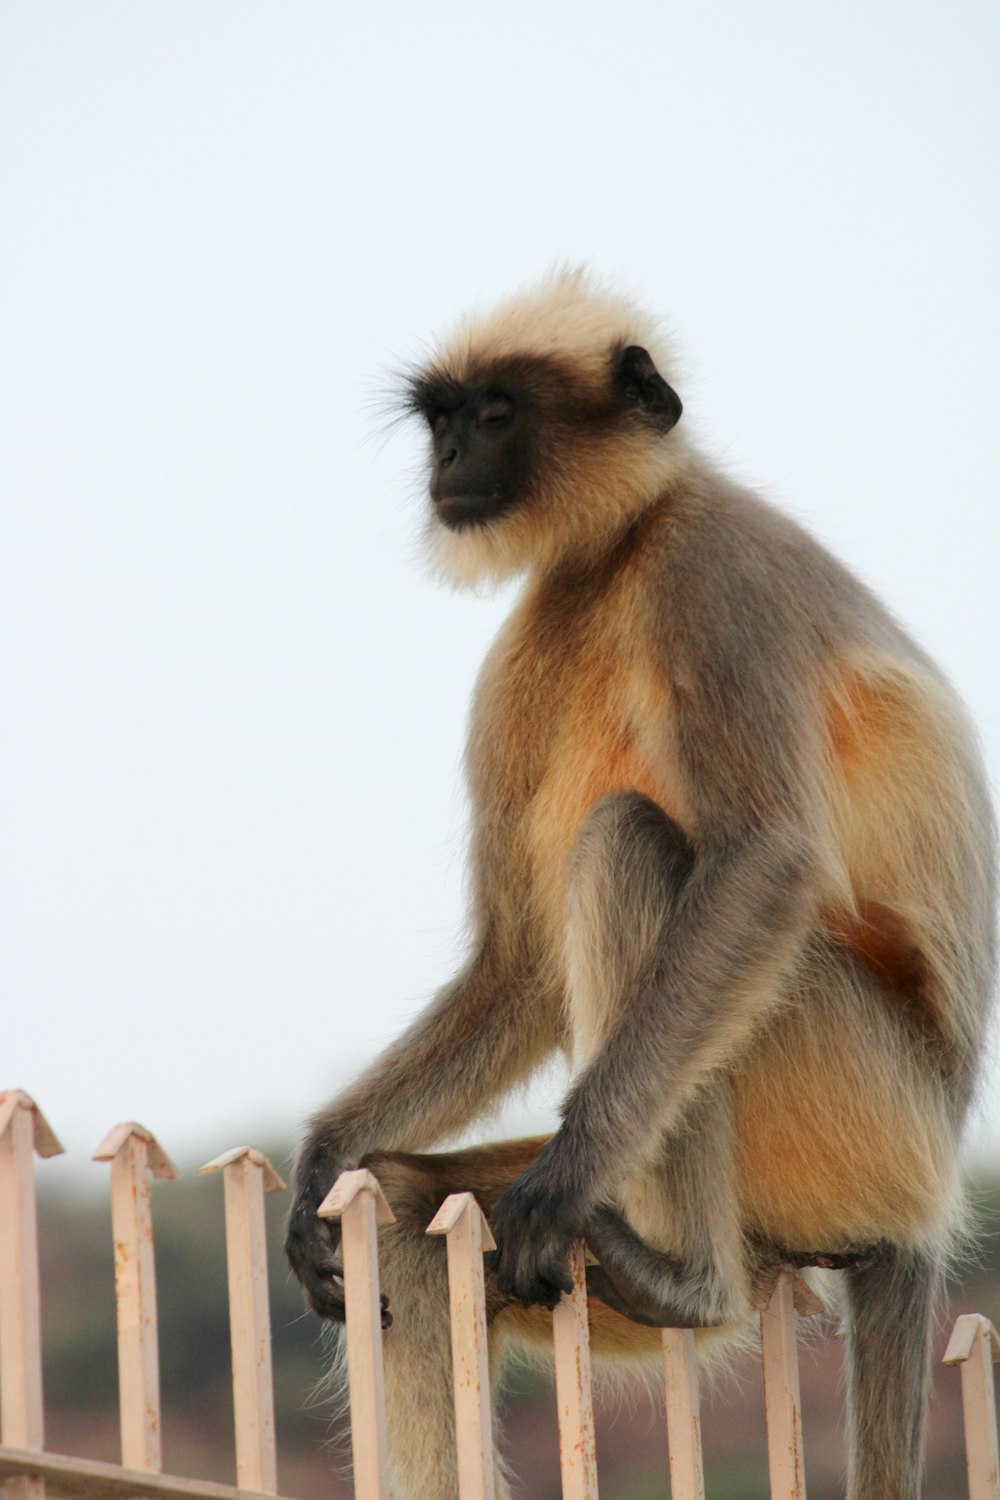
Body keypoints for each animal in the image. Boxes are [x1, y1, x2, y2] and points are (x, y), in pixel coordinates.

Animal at [284, 273, 995, 1500]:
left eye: (498, 414)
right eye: (441, 420)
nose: (449, 459)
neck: (621, 549)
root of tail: (925, 1193)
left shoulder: (714, 574)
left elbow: (762, 859)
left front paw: (565, 1178)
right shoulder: (533, 637)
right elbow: (518, 966)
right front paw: (323, 1157)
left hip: (863, 1104)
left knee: (632, 844)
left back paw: (685, 1277)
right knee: (420, 1217)